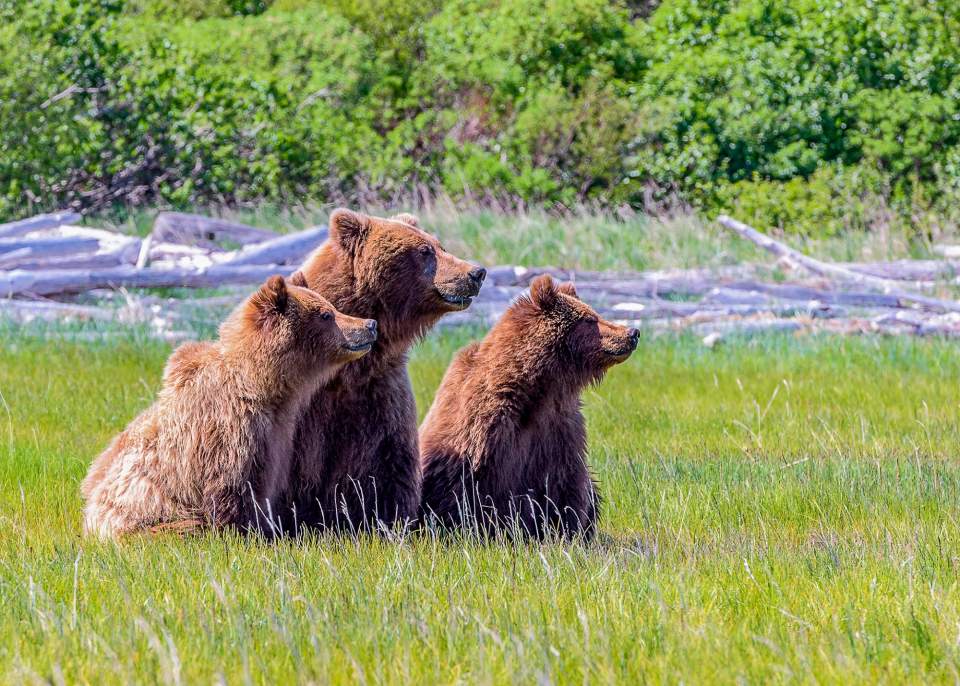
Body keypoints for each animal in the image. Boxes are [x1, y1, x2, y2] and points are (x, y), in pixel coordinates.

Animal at [80, 276, 376, 540]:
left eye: (332, 307)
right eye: (326, 315)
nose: (369, 323)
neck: (263, 387)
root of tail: (91, 521)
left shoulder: (277, 436)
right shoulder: (231, 429)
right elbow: (232, 488)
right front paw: (249, 534)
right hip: (149, 520)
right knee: (185, 526)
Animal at [282, 208, 484, 532]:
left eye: (439, 245)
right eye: (424, 251)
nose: (476, 272)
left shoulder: (379, 389)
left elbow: (387, 464)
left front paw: (384, 521)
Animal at [418, 276, 636, 540]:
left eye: (595, 314)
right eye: (589, 319)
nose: (632, 332)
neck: (538, 389)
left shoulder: (559, 427)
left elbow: (567, 484)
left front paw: (567, 532)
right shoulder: (481, 429)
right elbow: (458, 487)